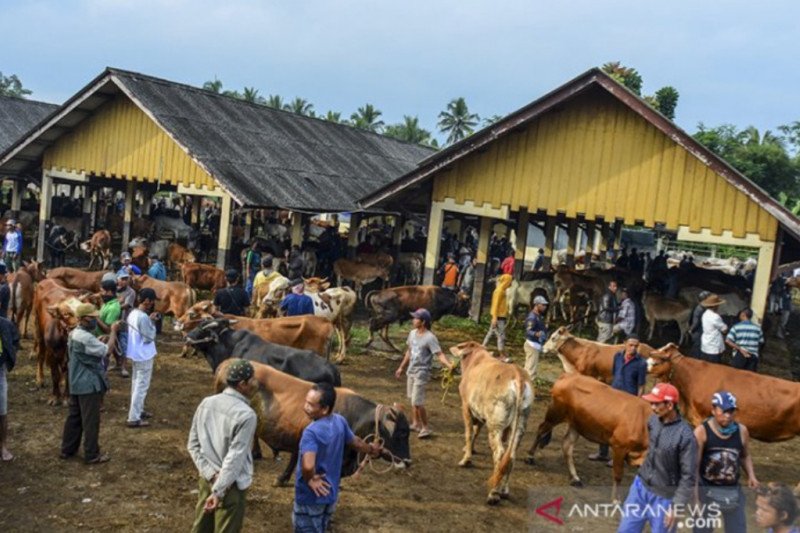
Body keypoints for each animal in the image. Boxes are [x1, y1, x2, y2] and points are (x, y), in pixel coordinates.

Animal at [450, 340, 532, 502]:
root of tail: (518, 376)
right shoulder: (481, 415)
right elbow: (475, 432)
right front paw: (470, 449)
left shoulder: (466, 406)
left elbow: (469, 433)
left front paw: (466, 459)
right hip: (520, 425)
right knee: (511, 455)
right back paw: (504, 490)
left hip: (495, 425)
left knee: (499, 453)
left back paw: (493, 493)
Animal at [524, 372, 648, 500]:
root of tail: (568, 375)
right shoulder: (619, 446)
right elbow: (618, 475)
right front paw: (615, 499)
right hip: (555, 414)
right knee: (541, 430)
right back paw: (529, 457)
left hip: (576, 424)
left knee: (566, 445)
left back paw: (575, 478)